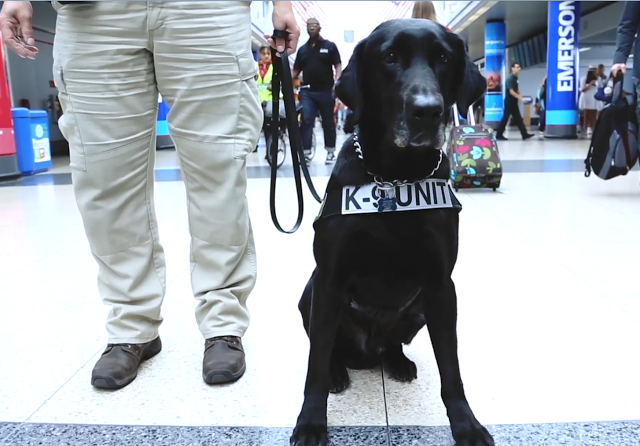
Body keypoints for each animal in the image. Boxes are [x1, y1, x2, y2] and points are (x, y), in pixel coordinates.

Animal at [292, 18, 492, 446]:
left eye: (443, 58)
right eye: (390, 57)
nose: (427, 111)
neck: (395, 178)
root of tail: (367, 350)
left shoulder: (440, 285)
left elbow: (451, 367)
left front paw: (466, 424)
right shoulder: (329, 279)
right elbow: (315, 363)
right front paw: (311, 422)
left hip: (418, 308)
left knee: (392, 345)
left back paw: (398, 362)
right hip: (310, 295)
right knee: (328, 348)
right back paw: (339, 372)